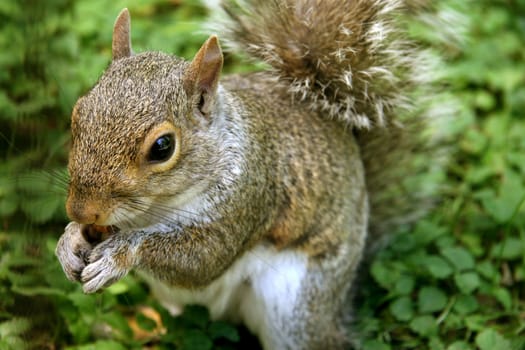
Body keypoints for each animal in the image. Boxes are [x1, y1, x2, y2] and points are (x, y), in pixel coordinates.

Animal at [56, 1, 442, 348]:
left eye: (163, 147)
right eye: (78, 114)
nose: (81, 209)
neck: (155, 210)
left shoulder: (249, 195)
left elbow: (204, 260)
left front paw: (118, 254)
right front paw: (69, 240)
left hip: (294, 307)